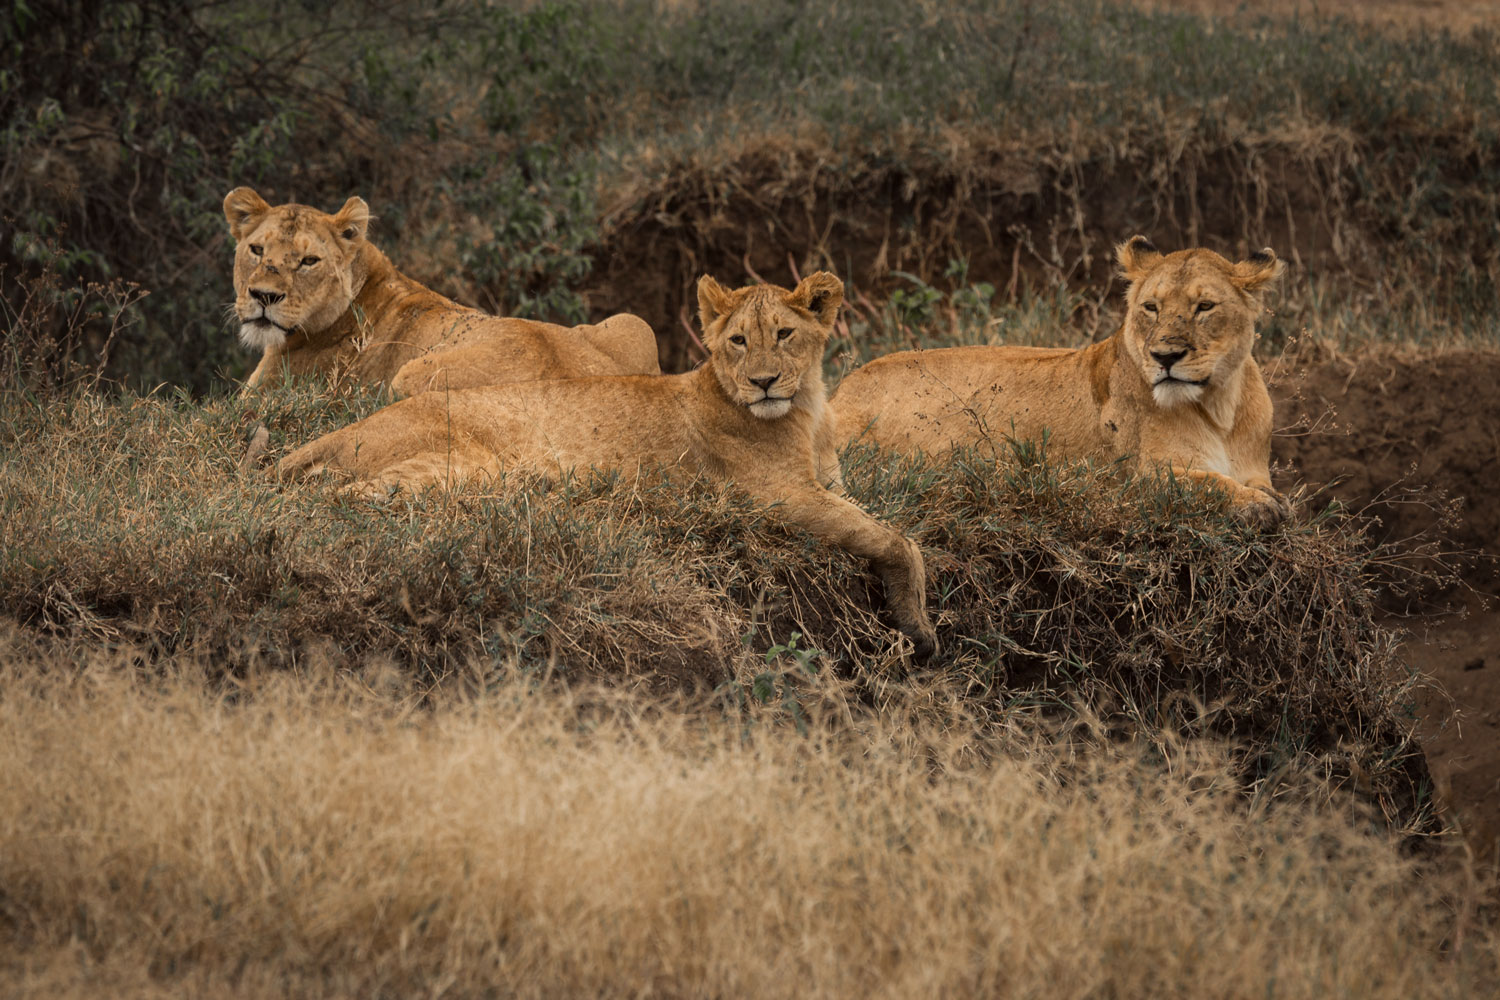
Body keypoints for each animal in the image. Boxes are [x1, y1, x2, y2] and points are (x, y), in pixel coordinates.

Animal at [282, 274, 936, 659]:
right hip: (463, 465)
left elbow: (894, 527)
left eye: (784, 334)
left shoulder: (828, 484)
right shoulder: (779, 495)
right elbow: (898, 540)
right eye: (739, 341)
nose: (764, 382)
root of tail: (336, 433)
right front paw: (920, 630)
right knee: (341, 496)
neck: (808, 409)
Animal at [828, 238, 1296, 527]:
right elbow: (1209, 485)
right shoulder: (1139, 480)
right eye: (1151, 307)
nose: (1164, 357)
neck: (1220, 404)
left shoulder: (1255, 468)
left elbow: (1257, 486)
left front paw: (1270, 501)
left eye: (1204, 307)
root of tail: (835, 393)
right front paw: (1258, 507)